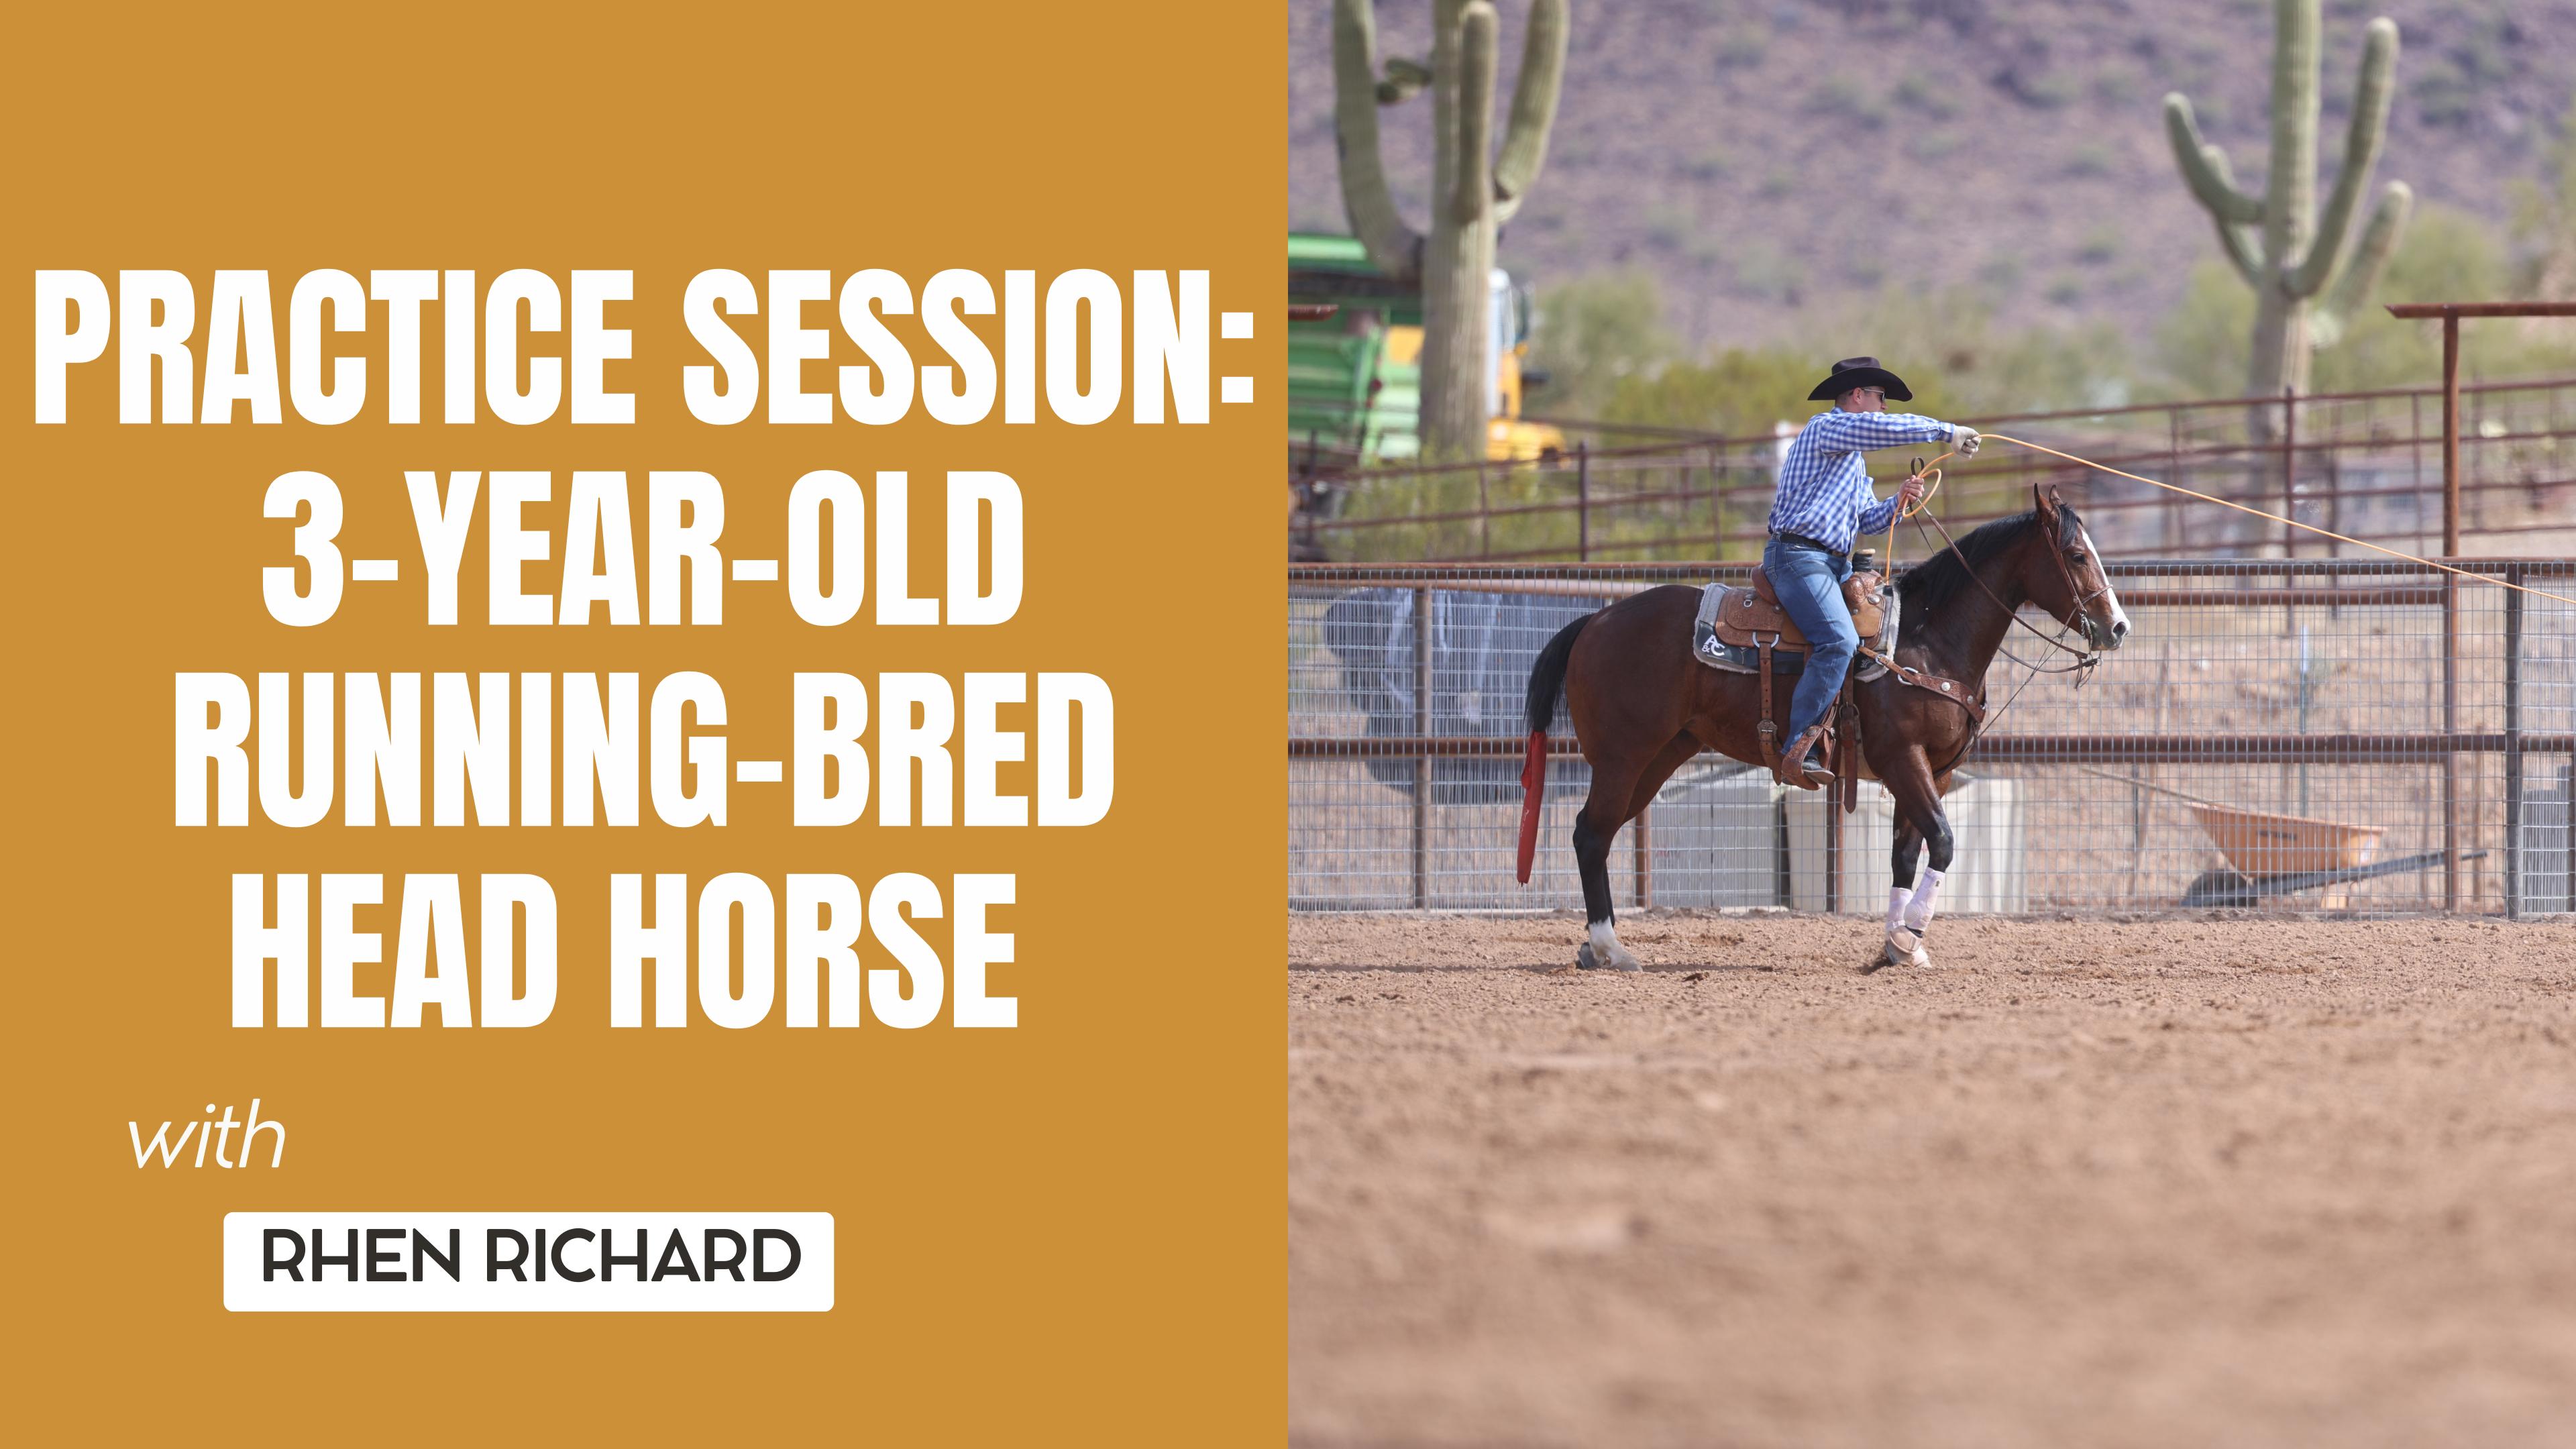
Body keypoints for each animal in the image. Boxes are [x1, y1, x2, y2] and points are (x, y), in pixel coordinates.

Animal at [1520, 485, 2131, 970]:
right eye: (2077, 555)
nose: (2119, 627)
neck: (1928, 642)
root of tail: (1594, 621)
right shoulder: (1903, 758)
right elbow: (1943, 841)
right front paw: (1909, 937)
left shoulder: (1930, 769)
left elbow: (1906, 855)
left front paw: (1897, 945)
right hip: (1622, 758)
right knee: (1590, 834)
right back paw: (1612, 949)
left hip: (1659, 756)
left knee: (1598, 834)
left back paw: (1594, 947)